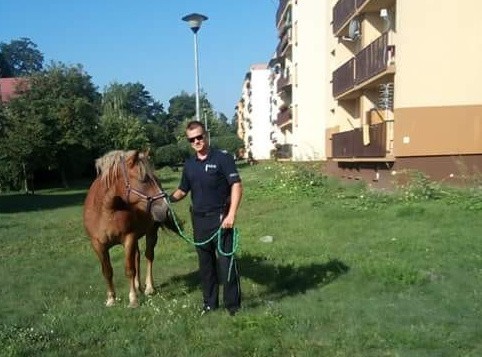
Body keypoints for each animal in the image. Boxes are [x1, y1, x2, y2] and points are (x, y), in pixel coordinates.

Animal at [83, 149, 179, 306]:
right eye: (143, 179)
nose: (166, 210)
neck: (106, 211)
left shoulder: (129, 238)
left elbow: (129, 269)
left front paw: (133, 299)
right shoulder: (98, 245)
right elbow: (107, 271)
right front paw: (111, 299)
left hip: (151, 233)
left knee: (148, 256)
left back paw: (148, 288)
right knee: (137, 256)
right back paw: (138, 286)